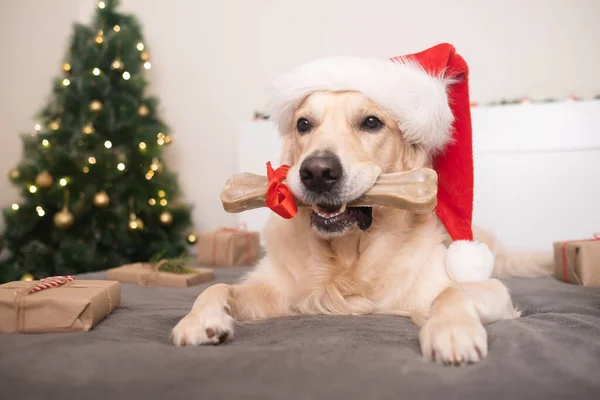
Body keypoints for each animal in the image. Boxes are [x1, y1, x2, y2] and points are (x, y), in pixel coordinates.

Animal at [172, 88, 552, 366]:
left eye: (371, 122)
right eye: (303, 124)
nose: (317, 172)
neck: (346, 256)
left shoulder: (492, 291)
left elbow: (450, 292)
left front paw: (451, 331)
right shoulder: (274, 290)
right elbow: (217, 287)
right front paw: (200, 320)